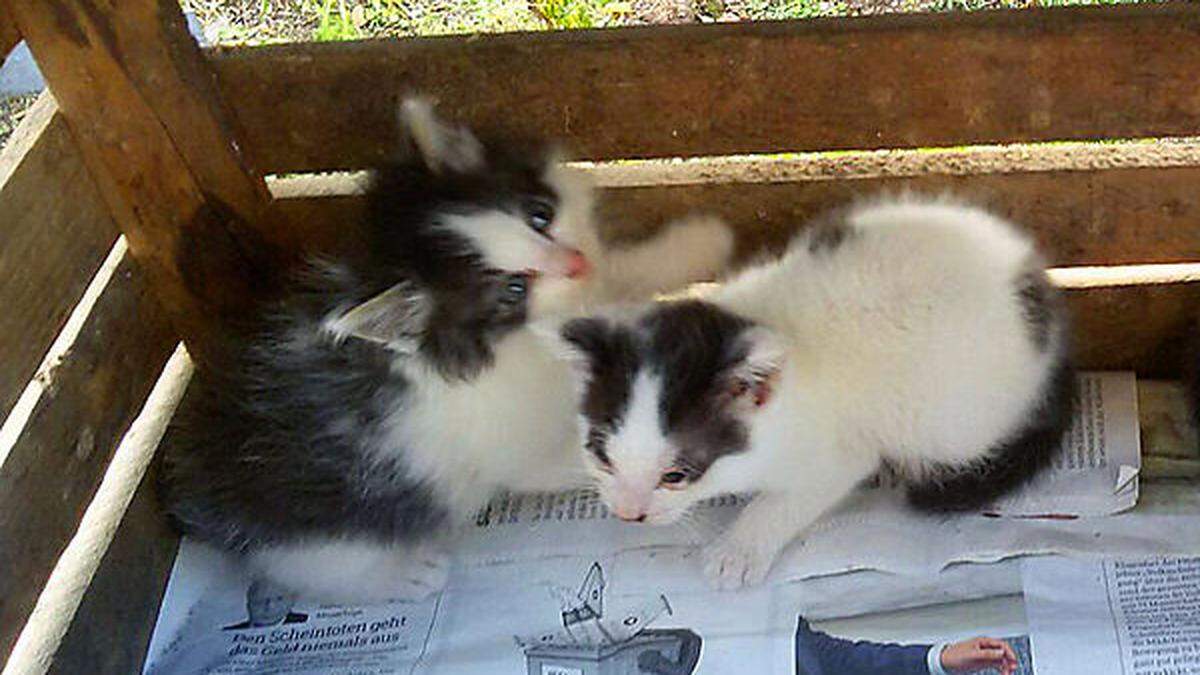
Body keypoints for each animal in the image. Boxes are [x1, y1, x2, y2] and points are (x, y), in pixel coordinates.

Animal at [158, 98, 729, 598]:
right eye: (512, 291)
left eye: (539, 216)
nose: (575, 264)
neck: (510, 344)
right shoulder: (511, 444)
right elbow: (580, 458)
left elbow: (620, 281)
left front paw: (698, 242)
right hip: (318, 529)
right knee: (307, 567)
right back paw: (408, 576)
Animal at [552, 195, 1080, 588]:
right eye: (602, 457)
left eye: (677, 475)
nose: (627, 514)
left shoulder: (836, 454)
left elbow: (787, 501)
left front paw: (738, 550)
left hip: (952, 419)